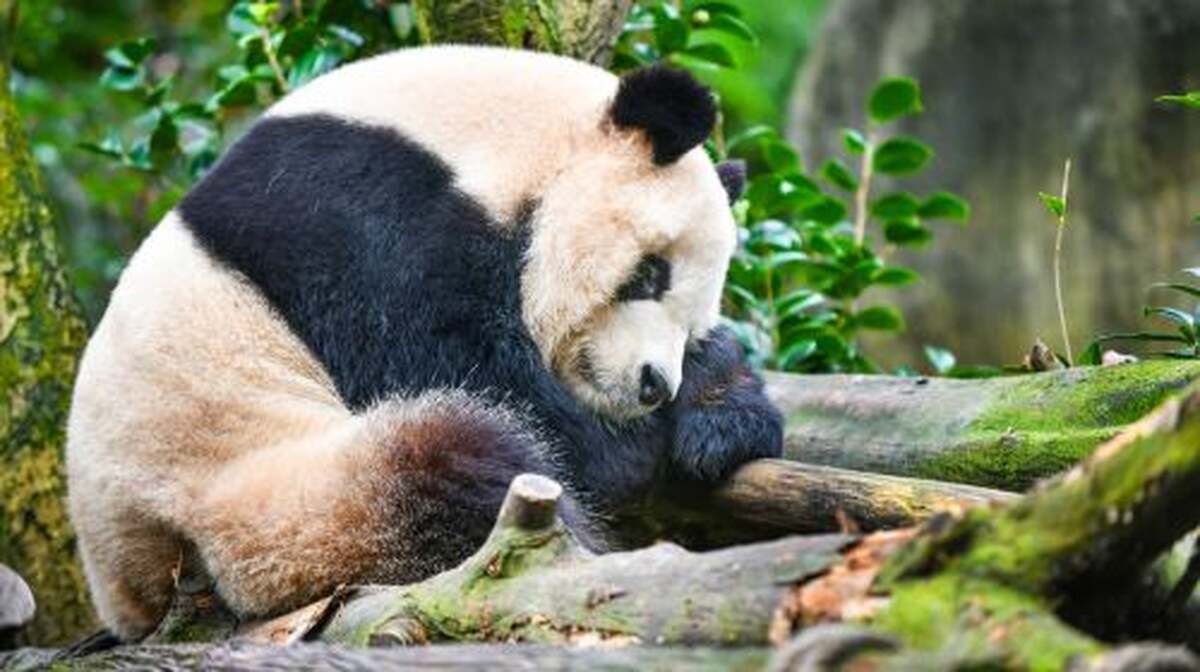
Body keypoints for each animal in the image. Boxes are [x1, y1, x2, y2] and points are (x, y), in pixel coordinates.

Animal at [66, 45, 783, 641]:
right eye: (649, 273)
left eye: (692, 317)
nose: (652, 384)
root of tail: (128, 590)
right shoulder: (360, 221)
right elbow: (468, 372)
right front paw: (643, 442)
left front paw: (723, 413)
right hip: (267, 500)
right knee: (451, 463)